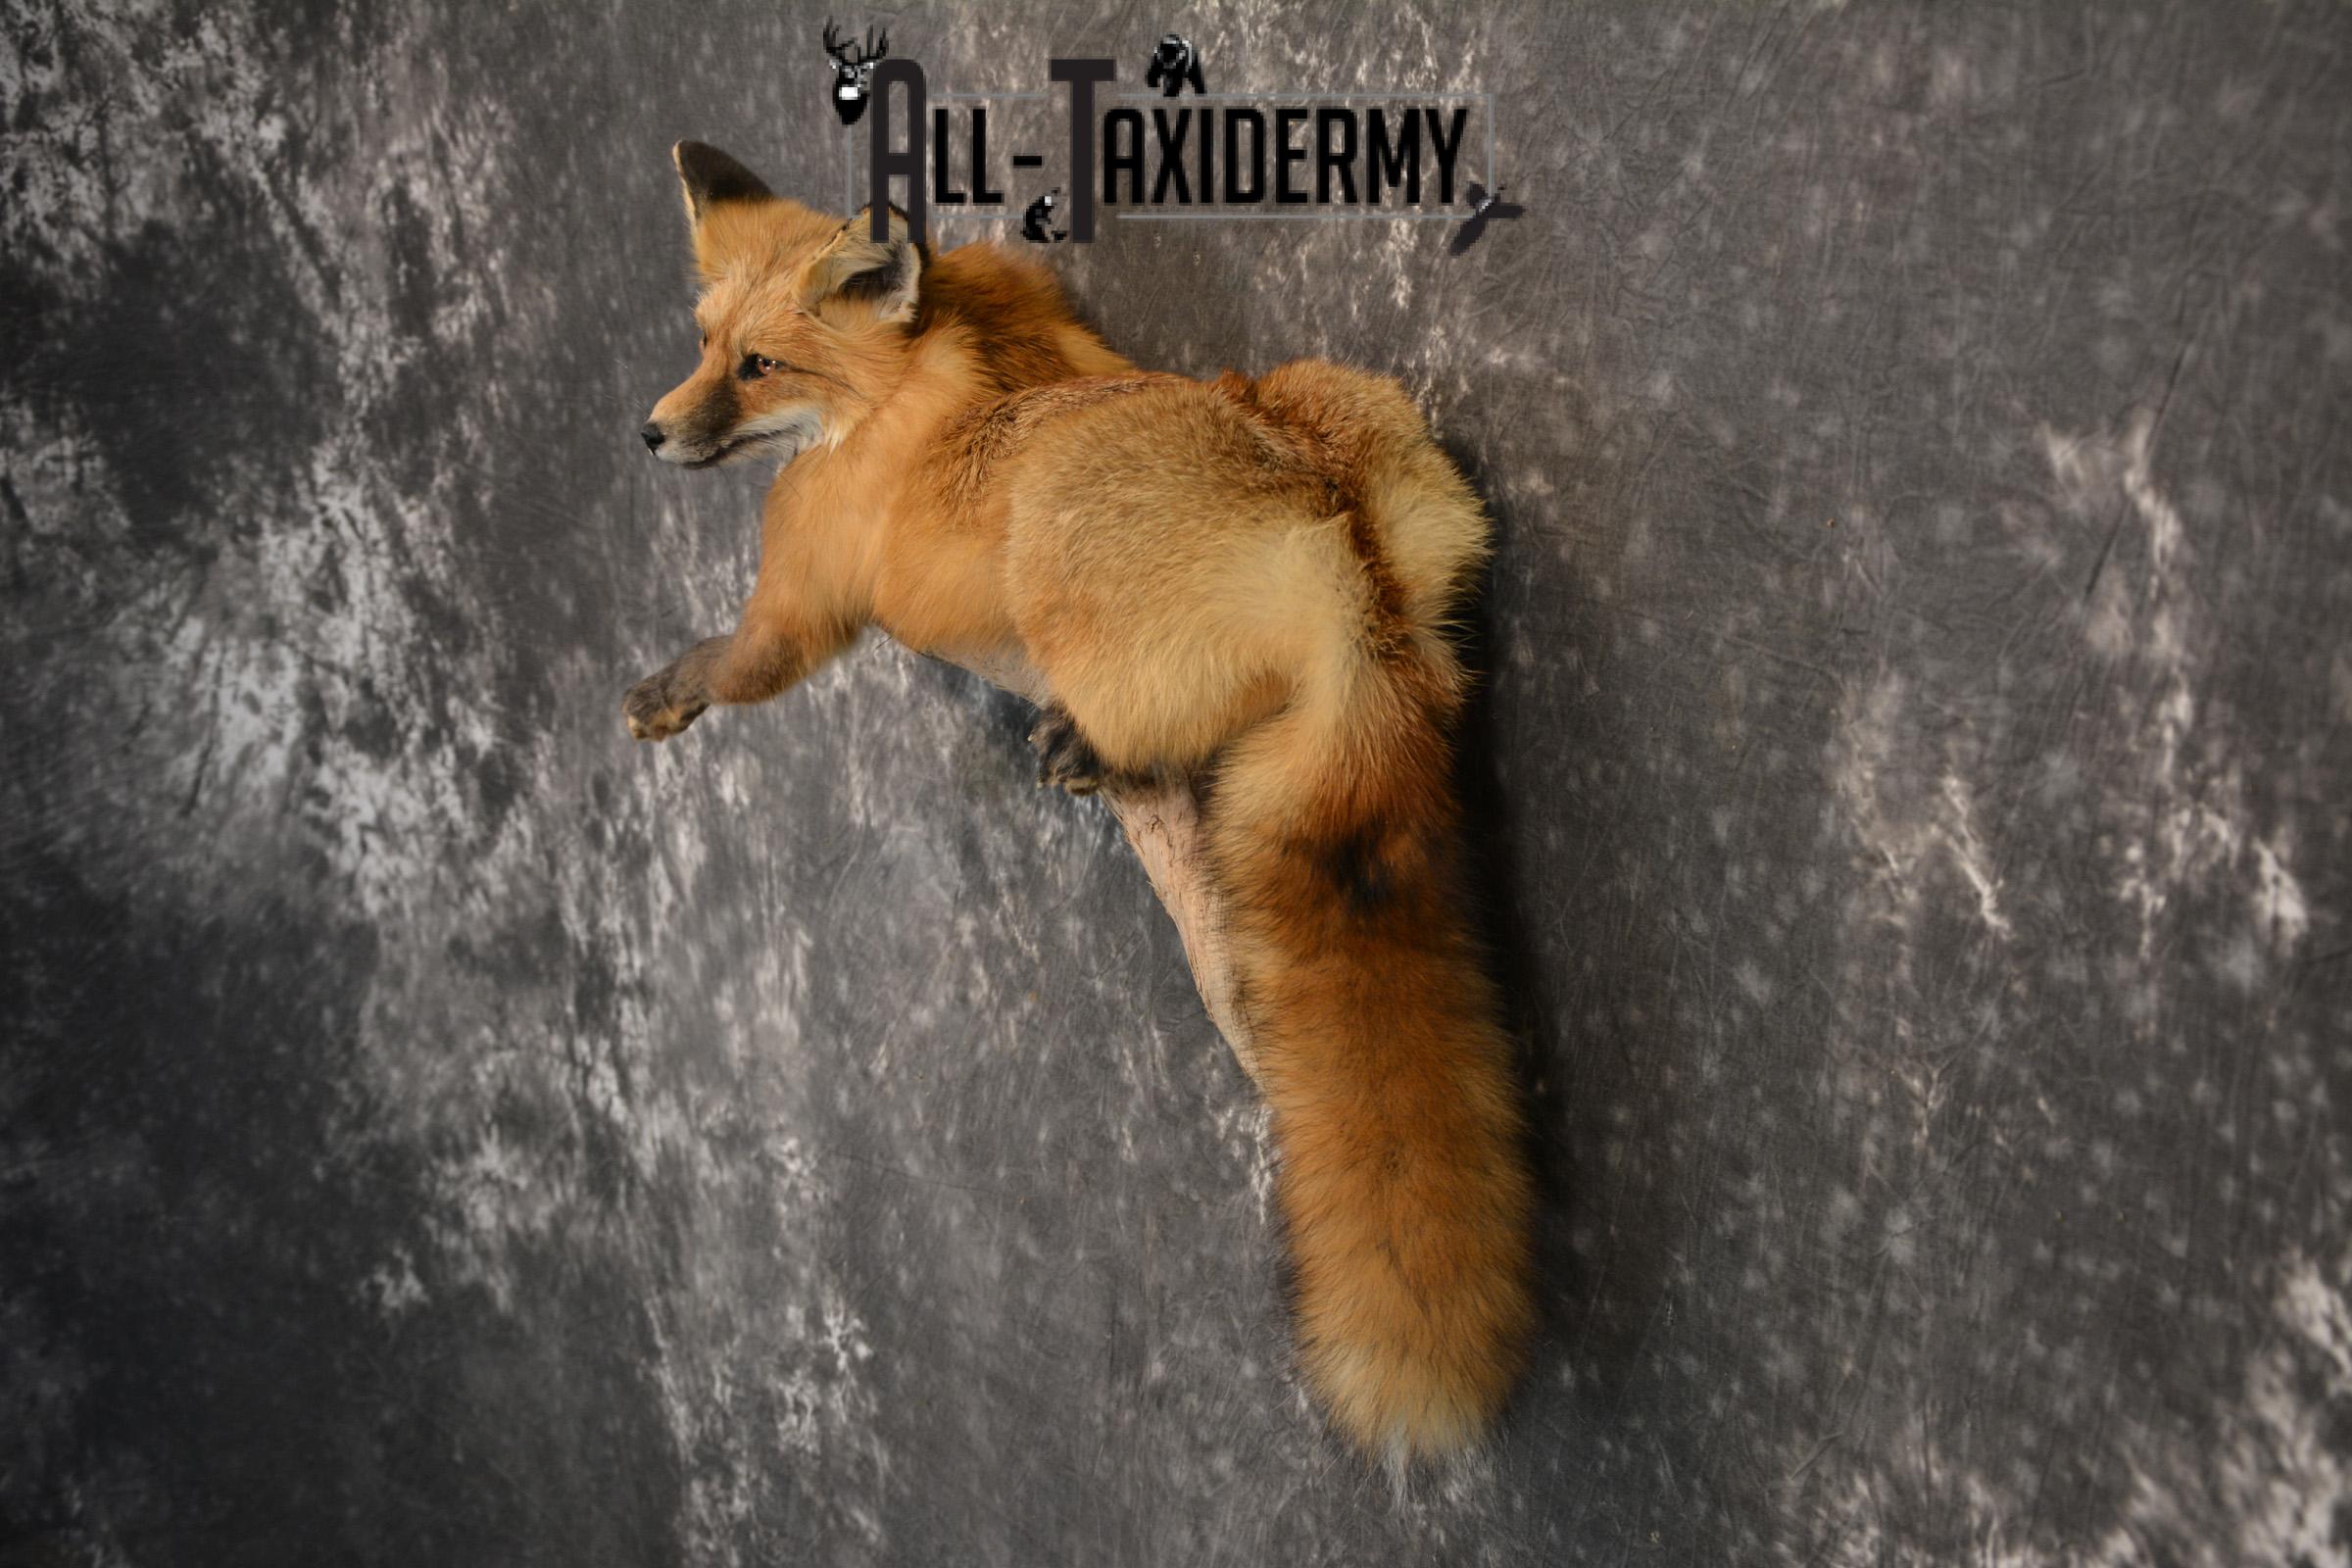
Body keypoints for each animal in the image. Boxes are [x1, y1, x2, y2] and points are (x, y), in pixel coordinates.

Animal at [627, 141, 1535, 1463]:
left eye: (758, 367)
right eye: (702, 343)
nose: (649, 432)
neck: (906, 380)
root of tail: (1340, 543)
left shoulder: (802, 585)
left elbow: (743, 662)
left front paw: (667, 693)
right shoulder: (1023, 287)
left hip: (1064, 533)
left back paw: (1089, 745)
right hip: (1352, 419)